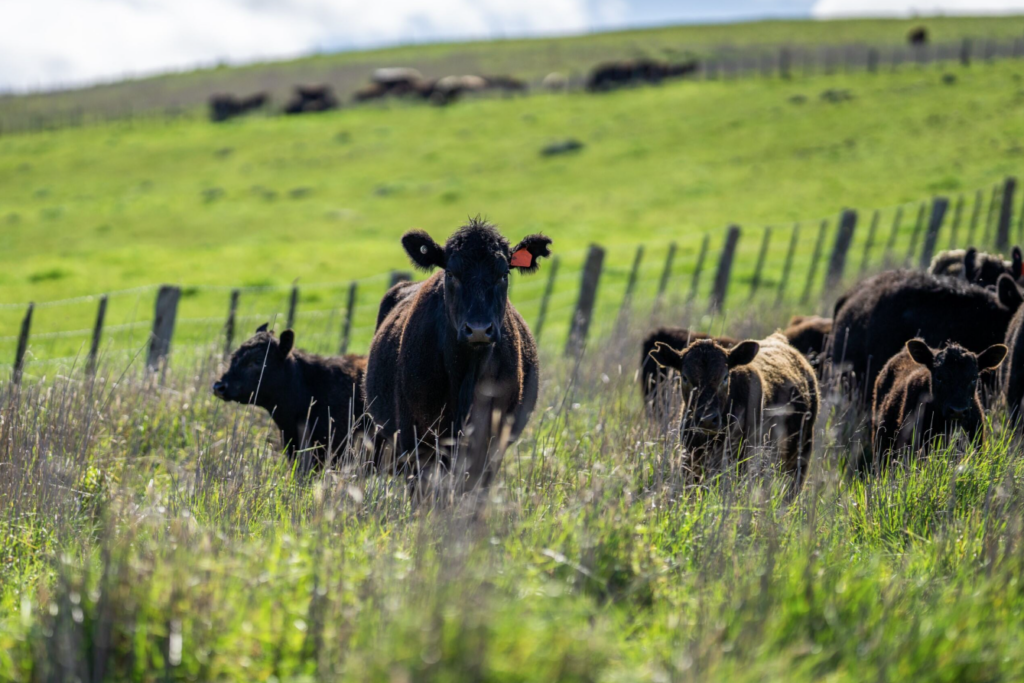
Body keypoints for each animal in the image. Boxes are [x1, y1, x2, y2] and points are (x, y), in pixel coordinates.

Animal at [364, 218, 552, 495]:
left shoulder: (492, 441)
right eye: (451, 274)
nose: (478, 329)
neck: (465, 373)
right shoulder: (414, 437)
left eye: (503, 274)